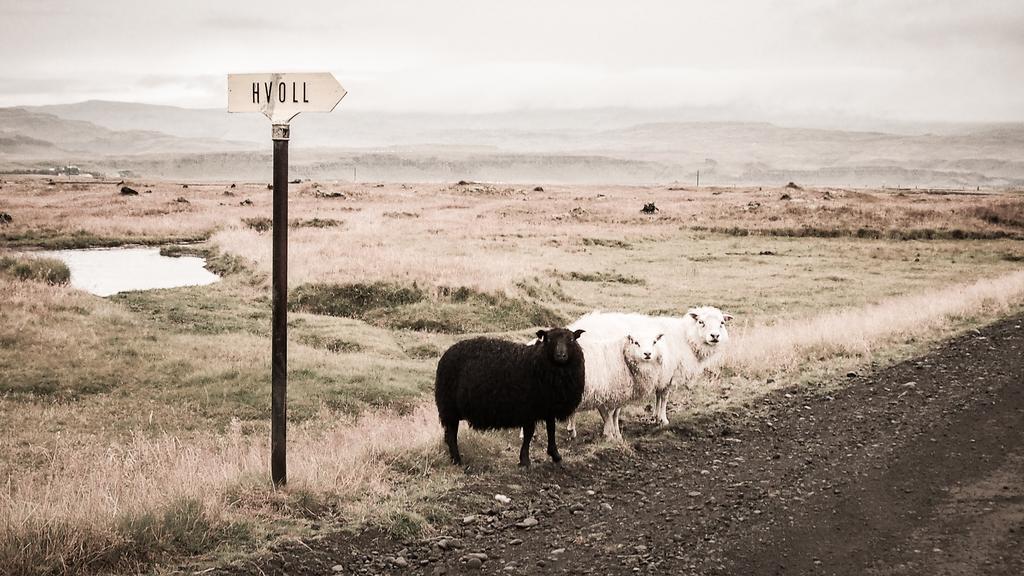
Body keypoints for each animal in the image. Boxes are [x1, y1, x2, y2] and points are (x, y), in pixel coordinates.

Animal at [432, 325, 585, 463]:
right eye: (549, 339)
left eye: (571, 339)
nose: (561, 356)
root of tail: (446, 355)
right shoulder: (528, 408)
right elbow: (529, 433)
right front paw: (525, 460)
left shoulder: (548, 407)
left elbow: (551, 429)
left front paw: (555, 455)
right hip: (448, 407)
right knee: (451, 435)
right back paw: (457, 460)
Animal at [573, 305, 733, 430]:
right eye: (701, 322)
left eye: (722, 323)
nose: (715, 336)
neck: (685, 337)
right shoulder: (669, 373)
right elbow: (664, 396)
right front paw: (663, 419)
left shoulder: (661, 373)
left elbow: (658, 394)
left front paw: (655, 416)